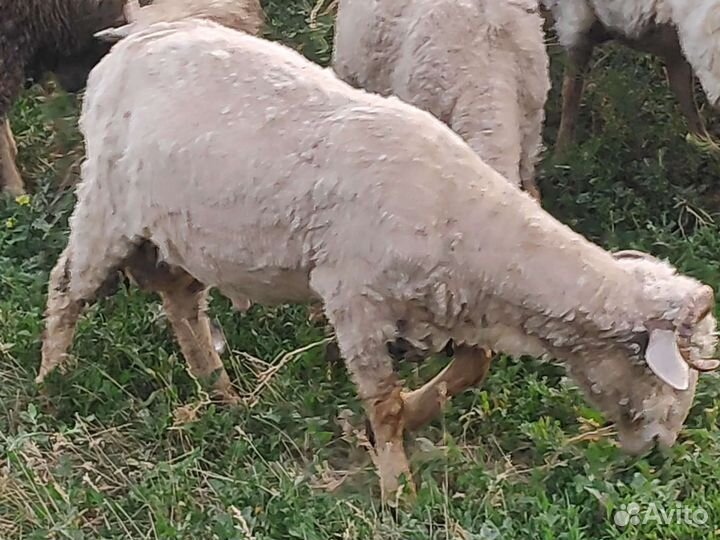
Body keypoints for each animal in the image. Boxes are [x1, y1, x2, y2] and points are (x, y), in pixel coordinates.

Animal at [542, 0, 720, 150]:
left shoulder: (675, 49)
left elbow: (686, 97)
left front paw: (705, 145)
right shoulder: (576, 23)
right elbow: (570, 95)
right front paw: (562, 155)